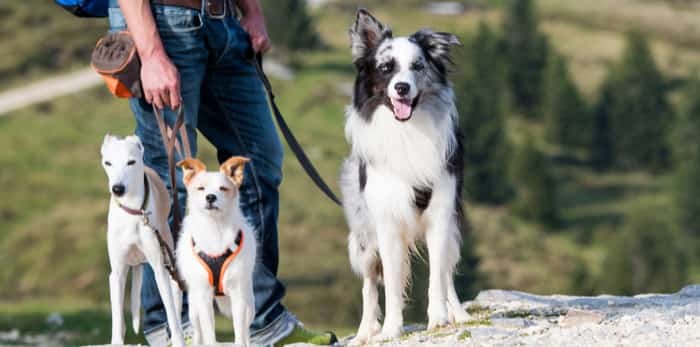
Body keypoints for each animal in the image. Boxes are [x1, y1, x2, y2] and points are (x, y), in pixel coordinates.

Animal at [100, 135, 186, 347]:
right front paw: (116, 341)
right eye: (108, 163)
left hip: (169, 256)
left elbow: (171, 312)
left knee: (176, 300)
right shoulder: (117, 272)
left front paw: (179, 339)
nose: (118, 189)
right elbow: (117, 317)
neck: (133, 211)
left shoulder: (160, 268)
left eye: (131, 162)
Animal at [175, 158, 258, 347]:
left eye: (223, 188)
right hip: (194, 307)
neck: (215, 229)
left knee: (246, 329)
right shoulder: (204, 295)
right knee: (198, 331)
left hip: (250, 304)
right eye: (201, 188)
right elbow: (208, 332)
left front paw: (240, 342)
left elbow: (239, 331)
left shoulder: (238, 295)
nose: (210, 197)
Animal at [342, 9, 474, 344]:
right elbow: (389, 283)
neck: (406, 132)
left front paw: (439, 319)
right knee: (369, 285)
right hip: (364, 235)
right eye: (386, 68)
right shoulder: (386, 222)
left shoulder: (441, 213)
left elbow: (437, 278)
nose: (402, 88)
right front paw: (390, 329)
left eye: (417, 66)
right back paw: (365, 332)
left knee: (446, 272)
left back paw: (459, 314)